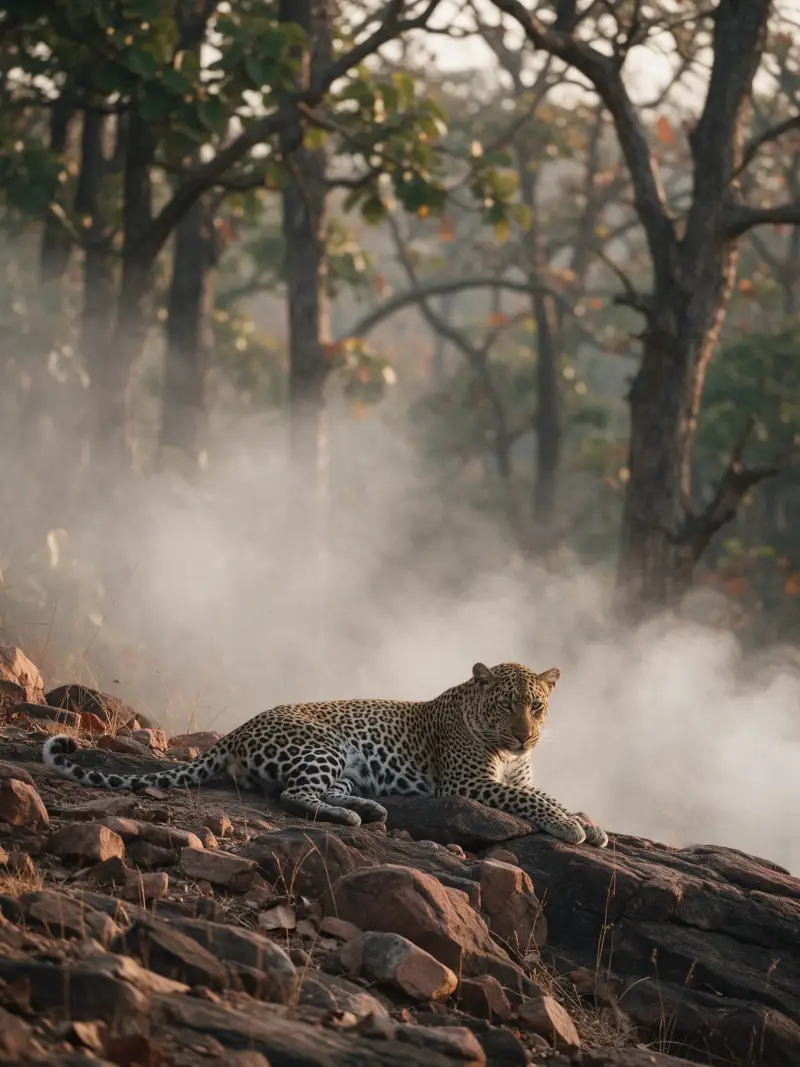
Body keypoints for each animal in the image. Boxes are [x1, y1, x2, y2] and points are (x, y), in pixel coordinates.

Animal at [42, 661, 608, 848]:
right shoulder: (469, 783)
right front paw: (572, 827)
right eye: (507, 706)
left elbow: (546, 794)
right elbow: (534, 802)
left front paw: (589, 822)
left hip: (344, 767)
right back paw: (355, 817)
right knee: (294, 796)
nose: (525, 737)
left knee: (320, 793)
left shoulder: (518, 776)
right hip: (323, 745)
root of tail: (237, 731)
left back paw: (368, 809)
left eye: (537, 707)